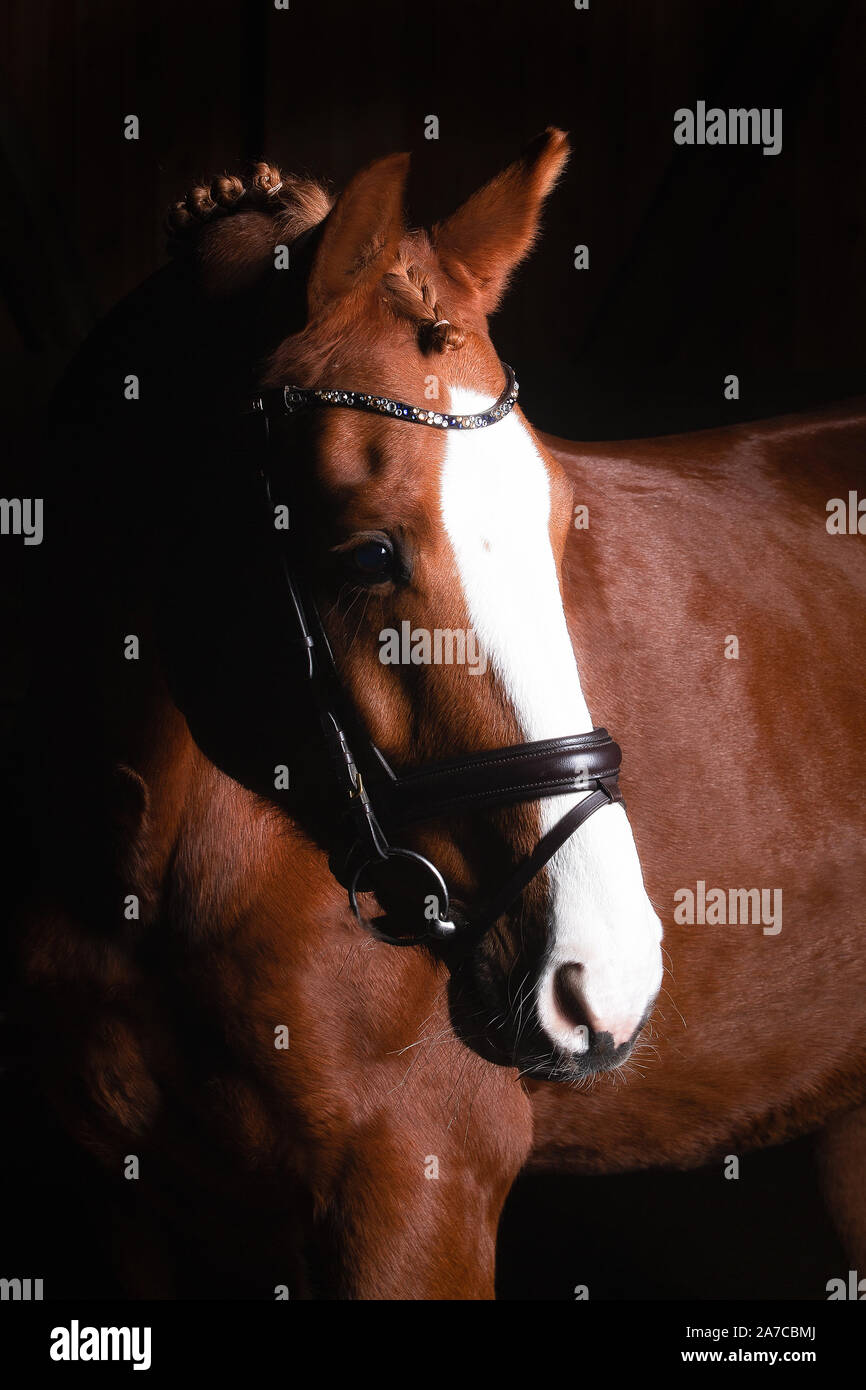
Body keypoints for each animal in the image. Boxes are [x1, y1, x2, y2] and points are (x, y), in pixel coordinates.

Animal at [11, 128, 866, 1299]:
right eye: (368, 551)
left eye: (558, 519)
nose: (607, 972)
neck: (138, 869)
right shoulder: (127, 1215)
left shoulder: (417, 1196)